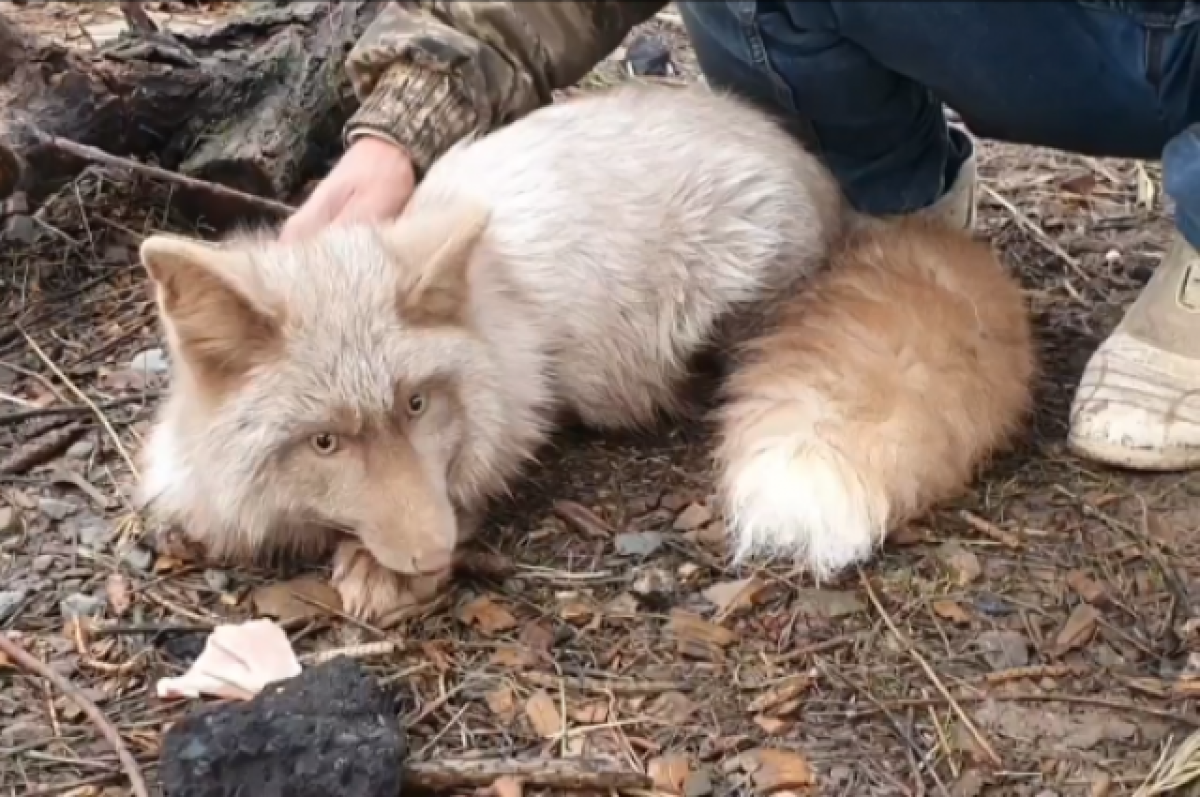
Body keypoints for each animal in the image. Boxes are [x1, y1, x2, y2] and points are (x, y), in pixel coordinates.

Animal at [136, 87, 844, 624]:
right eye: (324, 443)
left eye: (416, 404)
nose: (432, 553)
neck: (494, 301)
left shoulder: (522, 395)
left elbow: (476, 471)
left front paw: (381, 567)